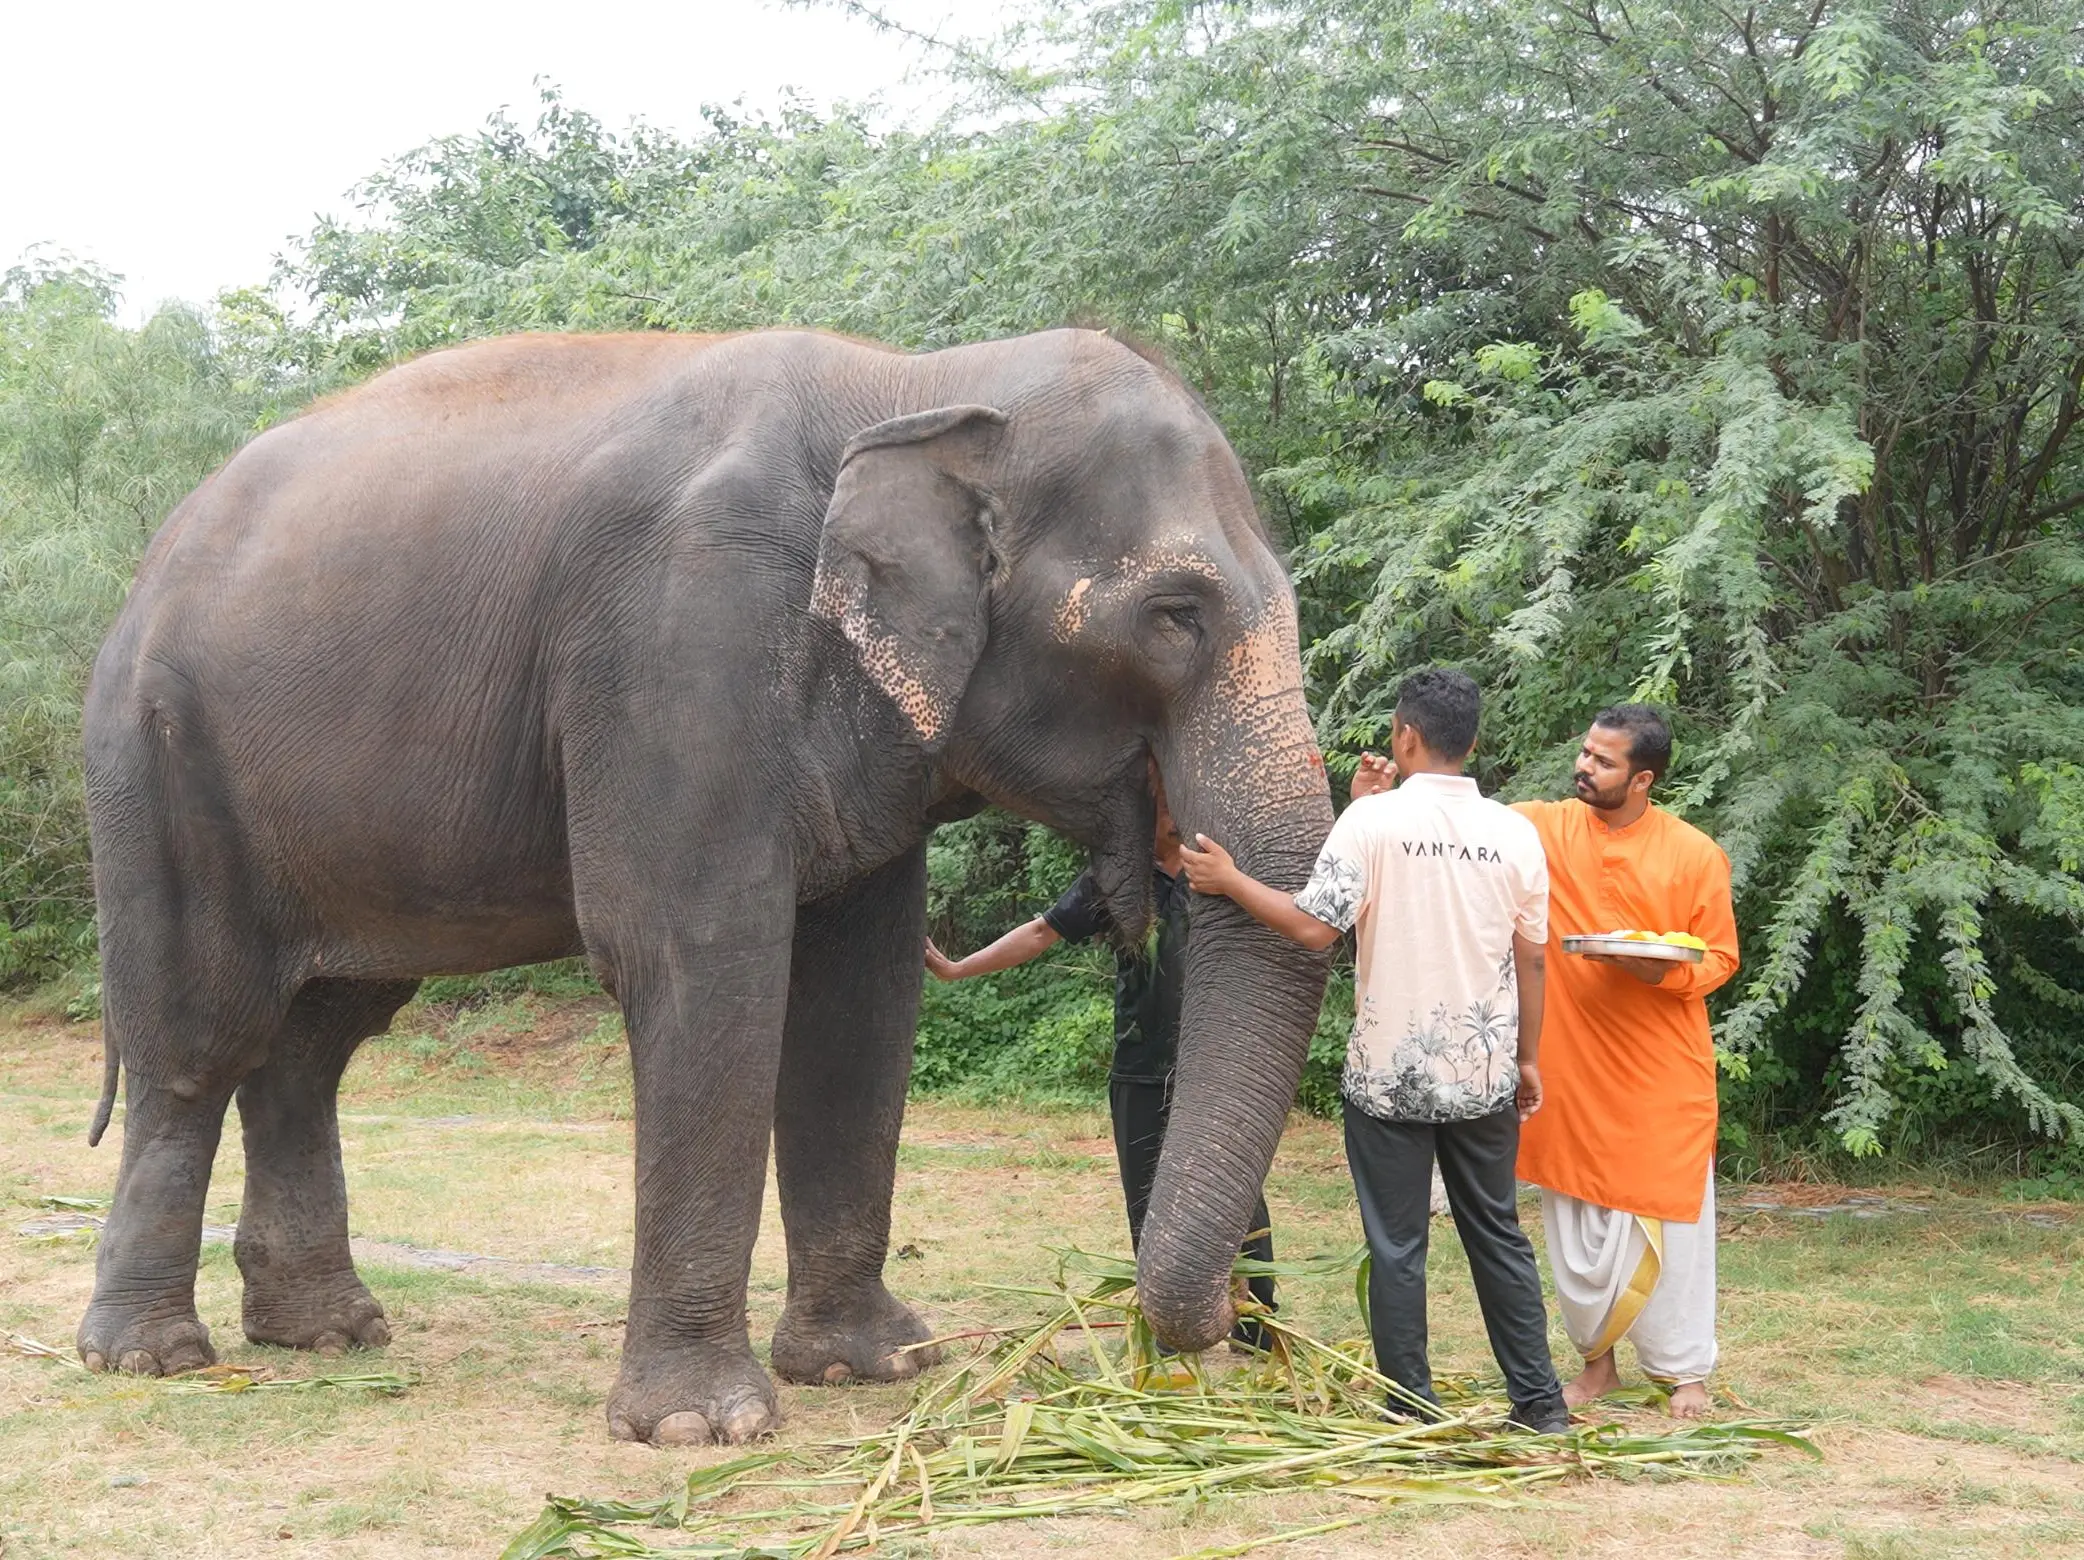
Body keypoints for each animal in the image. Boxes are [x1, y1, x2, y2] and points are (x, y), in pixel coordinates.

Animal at [76, 325, 1335, 1444]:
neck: (916, 381)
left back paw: (327, 1334)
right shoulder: (679, 641)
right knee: (197, 1043)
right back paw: (149, 1356)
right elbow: (698, 964)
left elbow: (860, 997)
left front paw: (875, 1365)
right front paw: (698, 1428)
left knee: (316, 1041)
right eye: (1173, 615)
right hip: (157, 766)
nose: (1212, 1330)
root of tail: (143, 568)